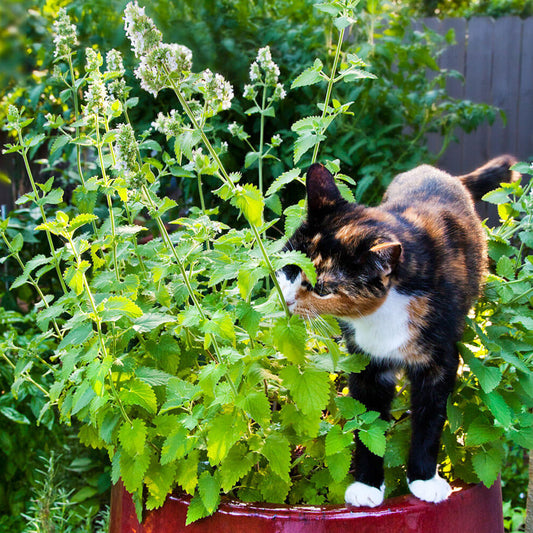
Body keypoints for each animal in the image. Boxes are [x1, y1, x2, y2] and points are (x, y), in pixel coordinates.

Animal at [276, 155, 516, 508]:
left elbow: (430, 419)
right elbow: (367, 423)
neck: (386, 310)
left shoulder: (441, 361)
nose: (288, 300)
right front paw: (367, 486)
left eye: (322, 290)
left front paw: (425, 480)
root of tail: (437, 172)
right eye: (289, 266)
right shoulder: (366, 362)